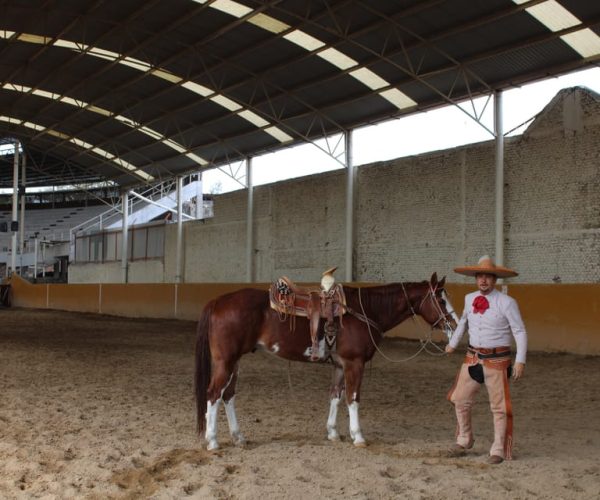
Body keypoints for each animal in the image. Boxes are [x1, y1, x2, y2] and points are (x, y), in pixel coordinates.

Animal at [195, 274, 458, 450]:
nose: (454, 325)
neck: (364, 311)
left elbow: (336, 396)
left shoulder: (340, 365)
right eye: (441, 300)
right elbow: (353, 398)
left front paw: (333, 433)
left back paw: (238, 437)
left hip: (235, 361)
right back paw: (213, 441)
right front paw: (358, 436)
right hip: (226, 361)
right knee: (213, 394)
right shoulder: (354, 363)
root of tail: (218, 302)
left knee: (228, 395)